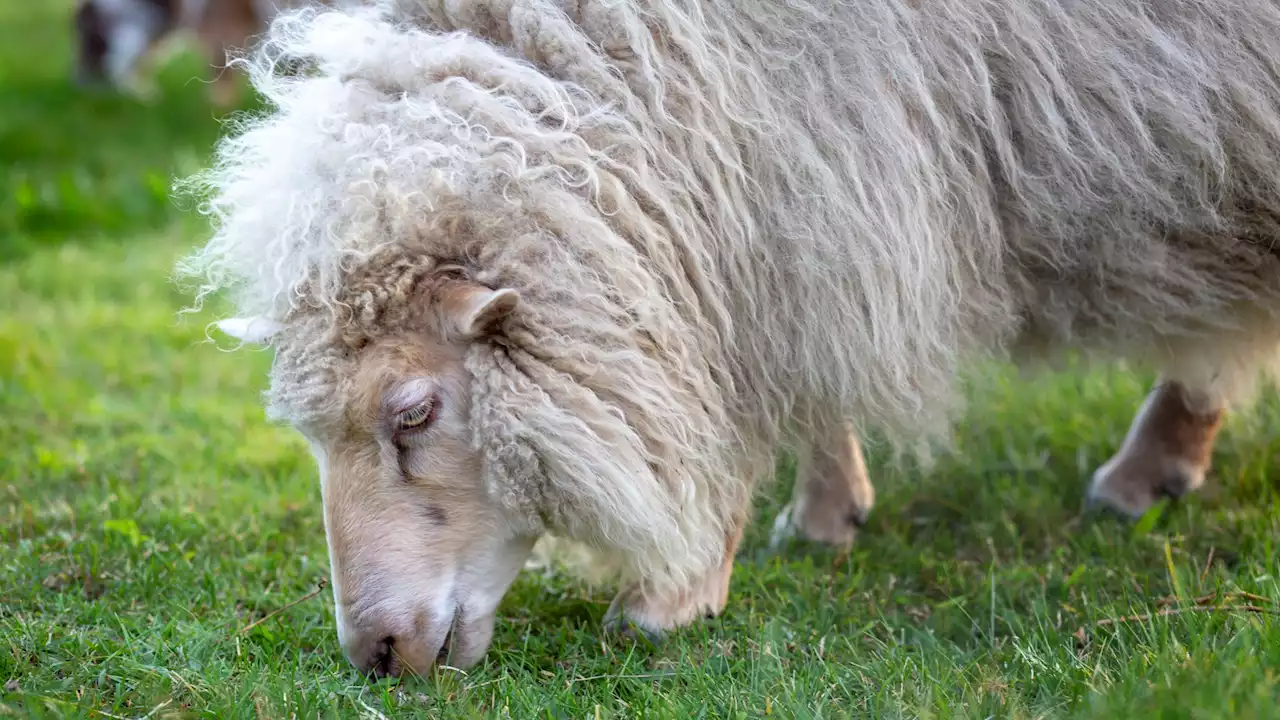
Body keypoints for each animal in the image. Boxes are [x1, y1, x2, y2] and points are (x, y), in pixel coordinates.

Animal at [180, 0, 1280, 671]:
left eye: (412, 413)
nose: (376, 656)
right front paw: (823, 510)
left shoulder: (814, 141)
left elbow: (759, 353)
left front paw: (675, 590)